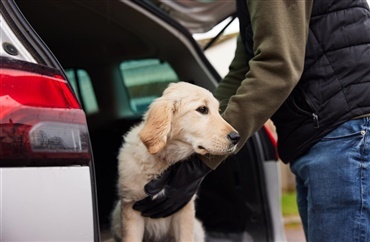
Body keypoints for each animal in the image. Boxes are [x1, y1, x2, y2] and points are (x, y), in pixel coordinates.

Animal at [111, 82, 240, 242]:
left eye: (218, 110)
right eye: (202, 109)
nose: (237, 137)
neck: (163, 163)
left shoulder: (183, 210)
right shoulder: (130, 209)